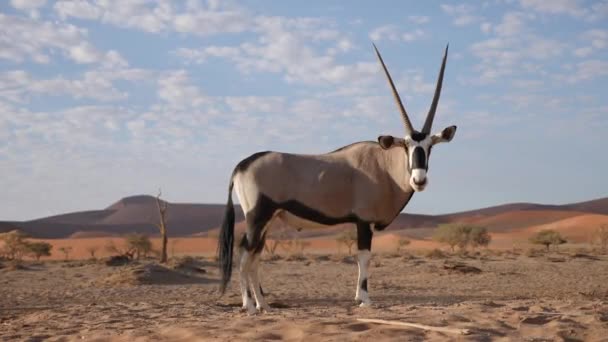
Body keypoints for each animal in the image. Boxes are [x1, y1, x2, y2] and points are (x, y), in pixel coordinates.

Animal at [218, 44, 456, 314]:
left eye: (429, 146)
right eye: (406, 146)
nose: (419, 179)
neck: (384, 165)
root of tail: (241, 166)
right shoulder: (364, 221)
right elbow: (364, 257)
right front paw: (364, 299)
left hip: (267, 220)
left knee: (255, 257)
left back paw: (263, 304)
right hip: (257, 217)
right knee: (244, 255)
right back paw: (248, 305)